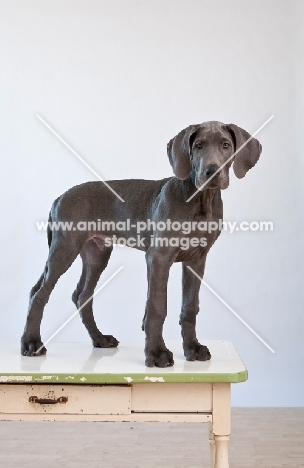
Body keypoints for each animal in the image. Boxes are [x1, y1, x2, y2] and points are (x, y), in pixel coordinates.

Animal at [20, 122, 262, 368]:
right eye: (198, 145)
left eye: (226, 145)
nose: (211, 171)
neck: (200, 201)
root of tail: (59, 197)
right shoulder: (159, 257)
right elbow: (157, 306)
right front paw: (156, 353)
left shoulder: (197, 260)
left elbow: (190, 307)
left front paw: (193, 348)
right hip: (65, 247)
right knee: (39, 293)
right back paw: (31, 343)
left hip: (97, 253)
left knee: (81, 295)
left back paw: (100, 339)